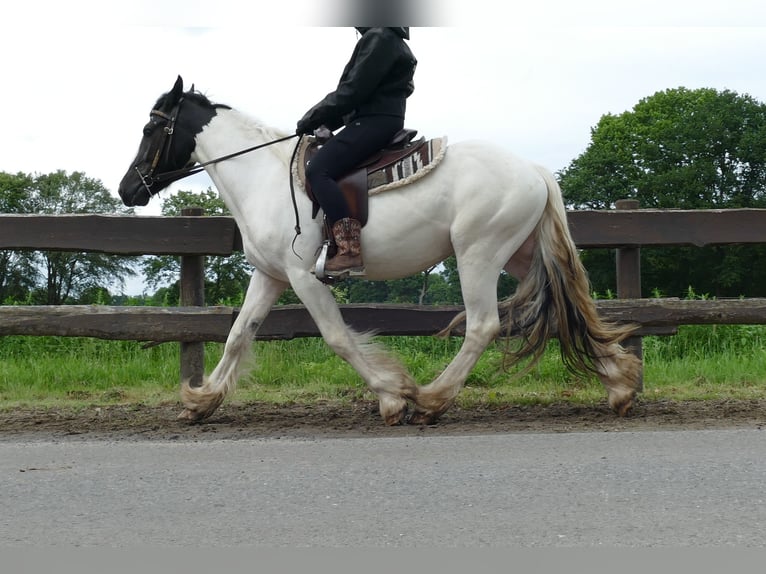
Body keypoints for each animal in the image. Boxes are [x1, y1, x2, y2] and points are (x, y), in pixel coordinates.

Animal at [118, 76, 642, 425]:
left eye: (150, 129)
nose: (128, 189)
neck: (264, 178)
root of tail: (533, 169)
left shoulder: (304, 277)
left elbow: (338, 338)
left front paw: (392, 396)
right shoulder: (271, 276)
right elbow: (238, 335)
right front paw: (201, 401)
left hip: (478, 253)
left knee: (483, 326)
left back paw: (432, 399)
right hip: (520, 255)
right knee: (563, 311)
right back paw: (619, 387)